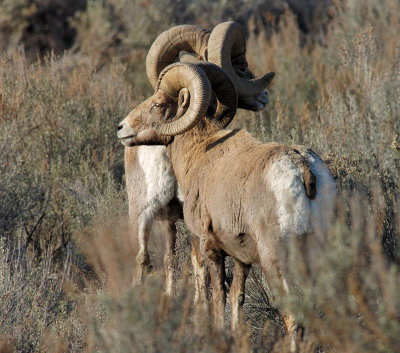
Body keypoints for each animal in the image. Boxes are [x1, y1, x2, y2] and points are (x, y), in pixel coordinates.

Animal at [117, 62, 336, 346]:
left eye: (158, 104)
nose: (121, 128)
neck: (200, 153)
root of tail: (302, 168)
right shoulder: (242, 258)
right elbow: (236, 297)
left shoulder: (210, 247)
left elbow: (217, 296)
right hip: (313, 253)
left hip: (275, 258)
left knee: (292, 317)